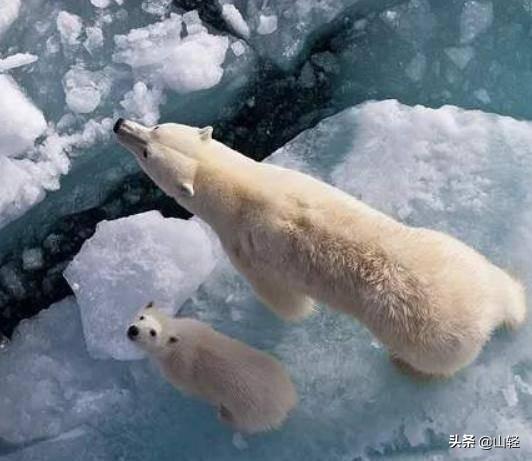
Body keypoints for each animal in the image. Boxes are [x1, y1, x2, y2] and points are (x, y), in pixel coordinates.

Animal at [114, 118, 524, 378]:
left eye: (148, 149)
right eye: (156, 129)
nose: (119, 123)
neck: (242, 189)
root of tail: (486, 312)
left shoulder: (246, 247)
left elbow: (285, 301)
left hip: (428, 338)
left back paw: (403, 365)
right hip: (456, 252)